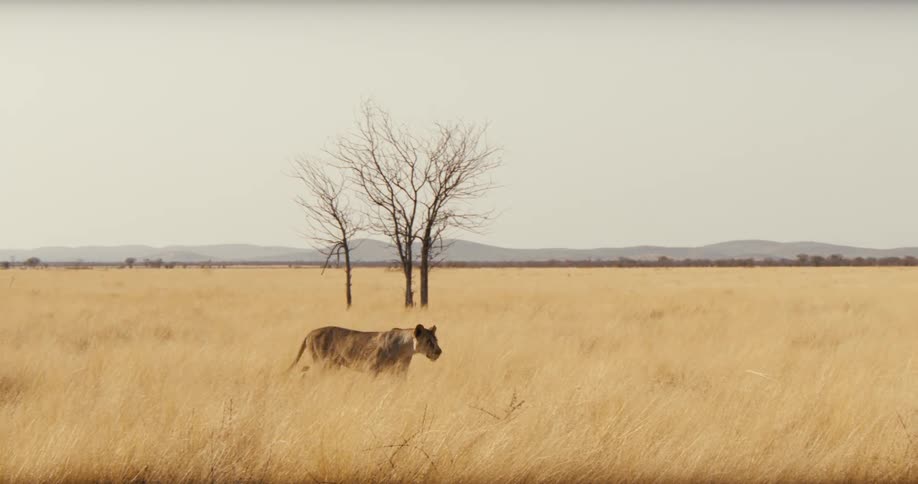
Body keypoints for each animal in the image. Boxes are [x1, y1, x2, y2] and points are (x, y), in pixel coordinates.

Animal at [287, 324, 442, 375]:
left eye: (436, 340)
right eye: (428, 341)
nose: (439, 352)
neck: (406, 349)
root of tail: (310, 332)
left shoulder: (400, 372)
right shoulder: (371, 368)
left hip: (333, 365)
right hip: (322, 363)